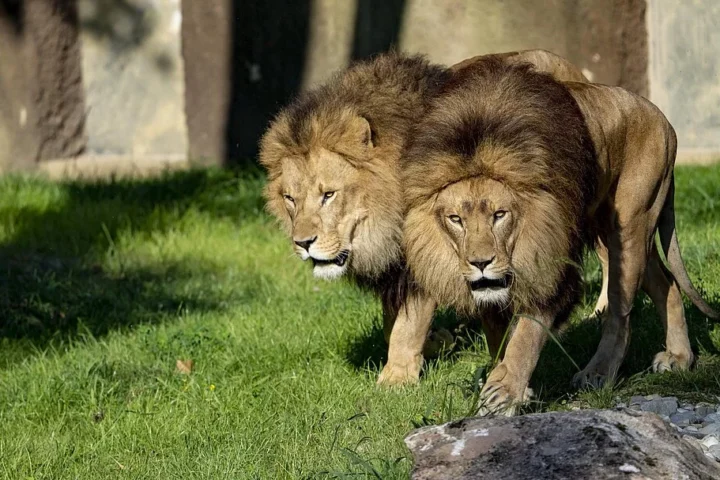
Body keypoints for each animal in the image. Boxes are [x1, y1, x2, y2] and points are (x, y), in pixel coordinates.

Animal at [259, 49, 602, 385]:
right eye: (290, 199)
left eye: (328, 195)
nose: (303, 243)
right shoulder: (395, 268)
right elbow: (391, 323)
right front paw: (437, 341)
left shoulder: (421, 253)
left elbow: (406, 325)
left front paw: (397, 378)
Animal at [400, 57, 718, 415]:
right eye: (456, 219)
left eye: (500, 214)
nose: (480, 263)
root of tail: (664, 119)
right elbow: (499, 337)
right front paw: (510, 382)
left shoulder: (550, 263)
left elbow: (526, 337)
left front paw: (504, 392)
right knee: (668, 284)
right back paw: (679, 357)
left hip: (630, 226)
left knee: (621, 313)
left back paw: (598, 373)